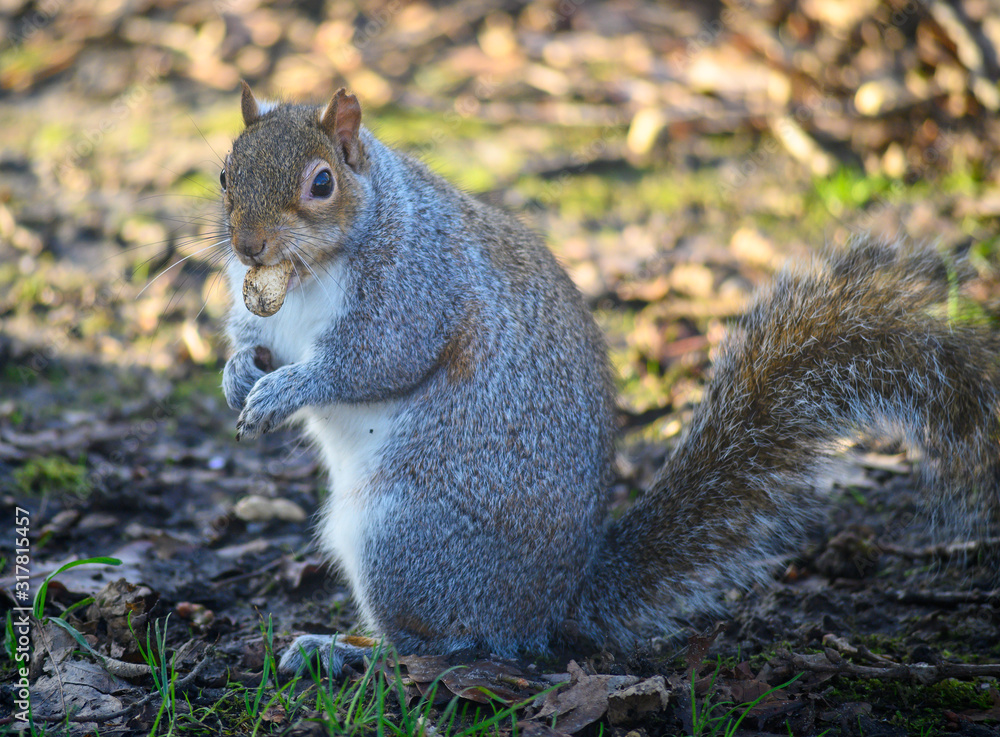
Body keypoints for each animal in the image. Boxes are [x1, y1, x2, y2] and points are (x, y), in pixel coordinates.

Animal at [219, 83, 1000, 674]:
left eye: (321, 184)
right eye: (226, 175)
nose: (248, 246)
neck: (308, 271)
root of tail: (550, 606)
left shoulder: (417, 283)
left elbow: (375, 358)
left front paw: (285, 391)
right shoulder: (266, 313)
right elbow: (255, 342)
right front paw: (236, 376)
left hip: (406, 535)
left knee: (447, 645)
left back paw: (354, 650)